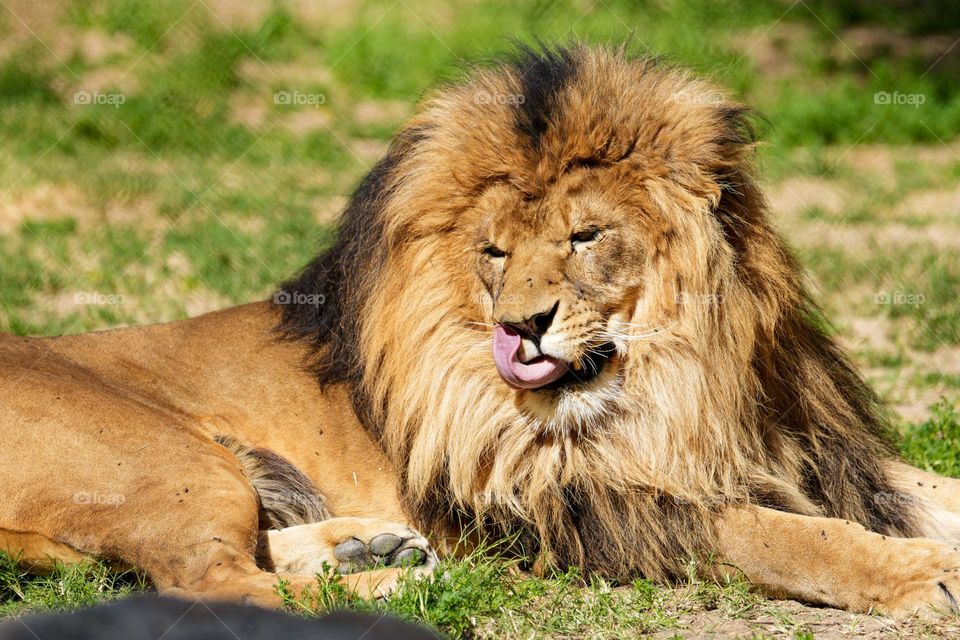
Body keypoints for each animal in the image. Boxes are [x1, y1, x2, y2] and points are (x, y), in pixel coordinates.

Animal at [2, 44, 959, 617]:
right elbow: (792, 536)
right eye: (494, 251)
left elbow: (927, 492)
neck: (686, 375)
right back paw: (395, 587)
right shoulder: (588, 507)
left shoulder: (807, 449)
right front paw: (922, 575)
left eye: (585, 235)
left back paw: (369, 548)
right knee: (215, 585)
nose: (520, 328)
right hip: (169, 460)